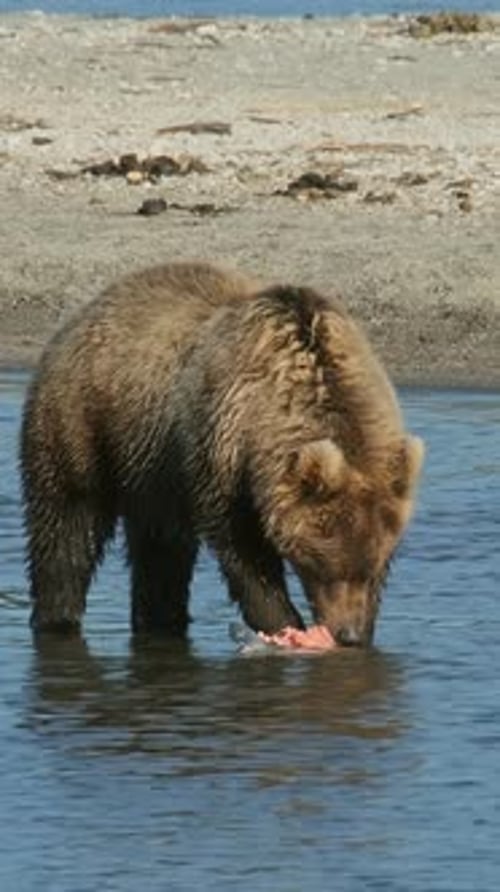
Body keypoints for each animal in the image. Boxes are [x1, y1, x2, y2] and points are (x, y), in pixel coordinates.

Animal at [20, 261, 424, 646]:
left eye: (373, 567)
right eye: (322, 565)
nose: (349, 634)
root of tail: (85, 312)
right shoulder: (224, 448)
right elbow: (242, 550)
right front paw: (282, 621)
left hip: (152, 469)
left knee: (160, 550)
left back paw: (161, 620)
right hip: (83, 421)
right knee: (68, 523)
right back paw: (57, 619)